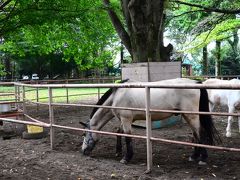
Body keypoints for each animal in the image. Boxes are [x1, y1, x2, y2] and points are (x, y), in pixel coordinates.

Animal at [81, 78, 220, 165]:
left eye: (85, 134)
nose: (83, 151)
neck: (117, 95)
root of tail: (196, 82)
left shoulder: (126, 119)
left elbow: (127, 137)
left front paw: (126, 158)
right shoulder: (124, 120)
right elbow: (118, 132)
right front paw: (118, 152)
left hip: (192, 116)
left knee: (200, 133)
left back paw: (203, 158)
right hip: (188, 116)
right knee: (195, 134)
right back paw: (194, 156)